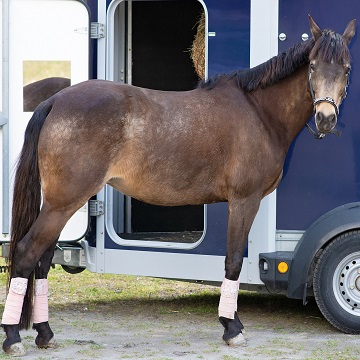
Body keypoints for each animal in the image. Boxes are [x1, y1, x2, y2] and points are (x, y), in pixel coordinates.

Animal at [1, 16, 356, 354]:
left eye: (346, 69)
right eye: (313, 66)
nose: (326, 119)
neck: (258, 112)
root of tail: (55, 102)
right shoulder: (244, 201)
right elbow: (233, 261)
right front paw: (232, 328)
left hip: (61, 204)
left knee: (43, 260)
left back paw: (45, 333)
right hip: (63, 202)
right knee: (26, 253)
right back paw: (13, 337)